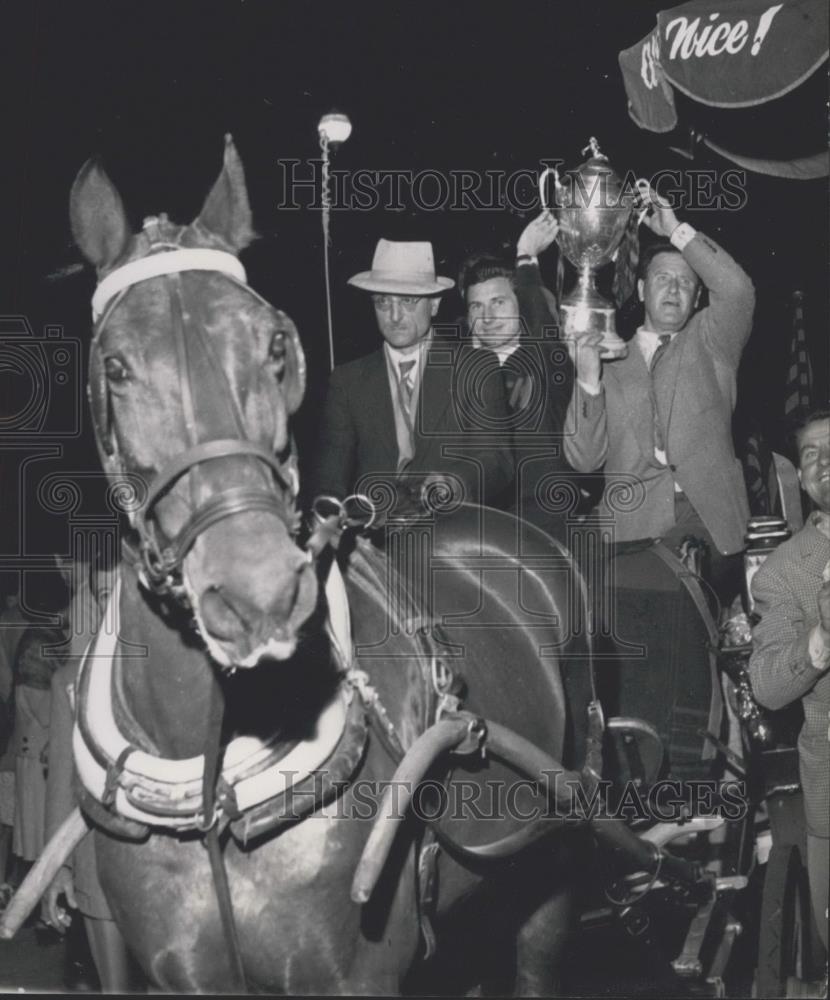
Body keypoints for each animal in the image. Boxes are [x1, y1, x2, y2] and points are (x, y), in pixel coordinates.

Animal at [70, 139, 592, 992]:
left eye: (275, 344)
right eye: (116, 367)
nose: (257, 594)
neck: (216, 787)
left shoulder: (356, 972)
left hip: (554, 851)